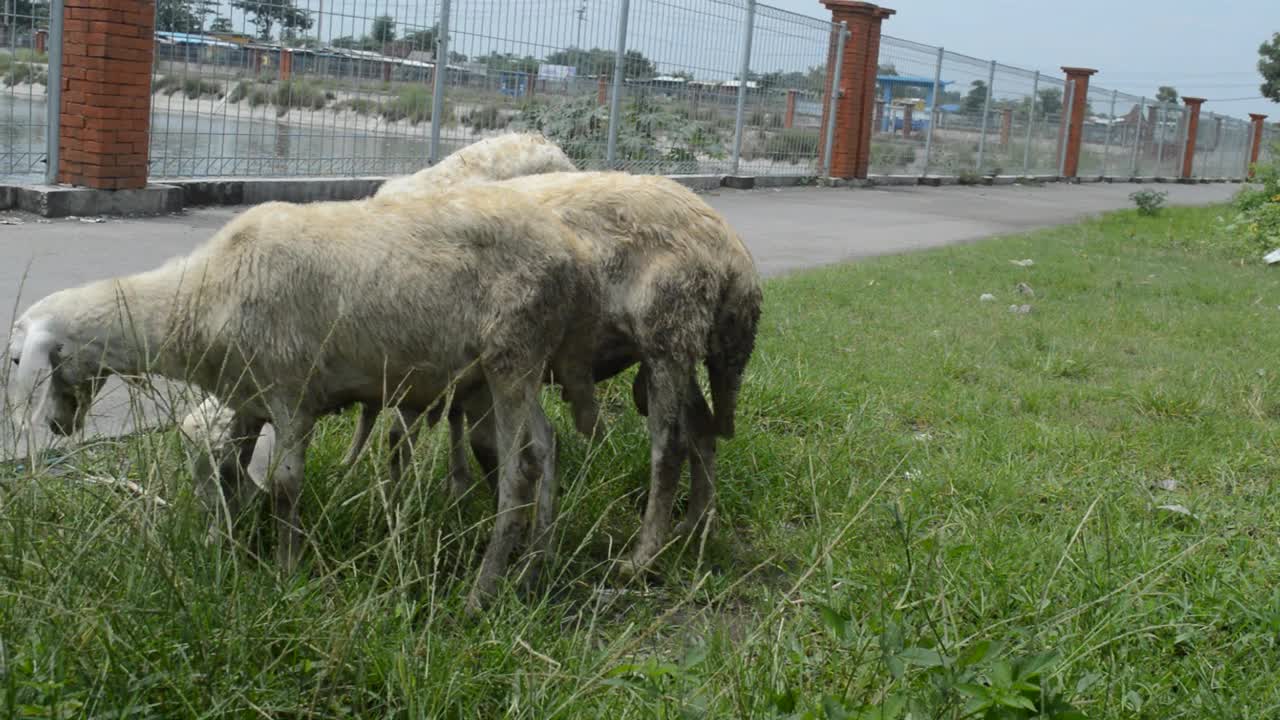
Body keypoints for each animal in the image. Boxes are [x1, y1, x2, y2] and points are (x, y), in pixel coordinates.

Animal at [8, 181, 604, 607]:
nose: (58, 428)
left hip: (512, 355)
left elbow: (285, 486)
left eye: (16, 361)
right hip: (506, 370)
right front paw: (222, 547)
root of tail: (571, 255)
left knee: (518, 472)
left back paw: (483, 592)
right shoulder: (248, 400)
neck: (195, 300)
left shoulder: (290, 395)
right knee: (545, 447)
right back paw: (535, 567)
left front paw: (284, 570)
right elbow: (228, 469)